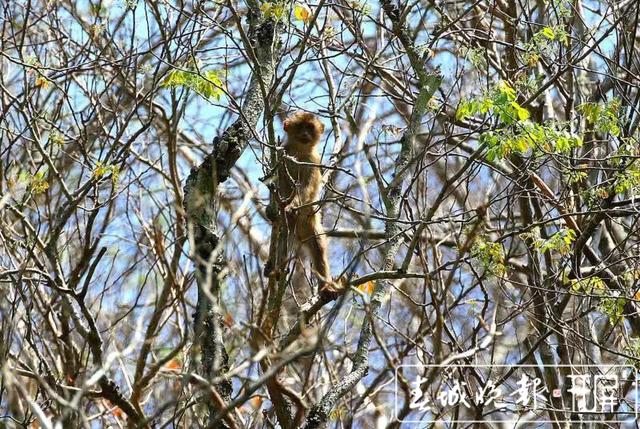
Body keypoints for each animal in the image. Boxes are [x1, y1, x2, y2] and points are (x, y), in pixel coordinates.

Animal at [278, 111, 338, 294]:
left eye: (310, 127)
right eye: (300, 126)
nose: (305, 134)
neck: (299, 151)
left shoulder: (312, 160)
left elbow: (306, 186)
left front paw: (292, 205)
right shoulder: (283, 155)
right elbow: (282, 184)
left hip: (310, 225)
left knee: (318, 246)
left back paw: (326, 285)